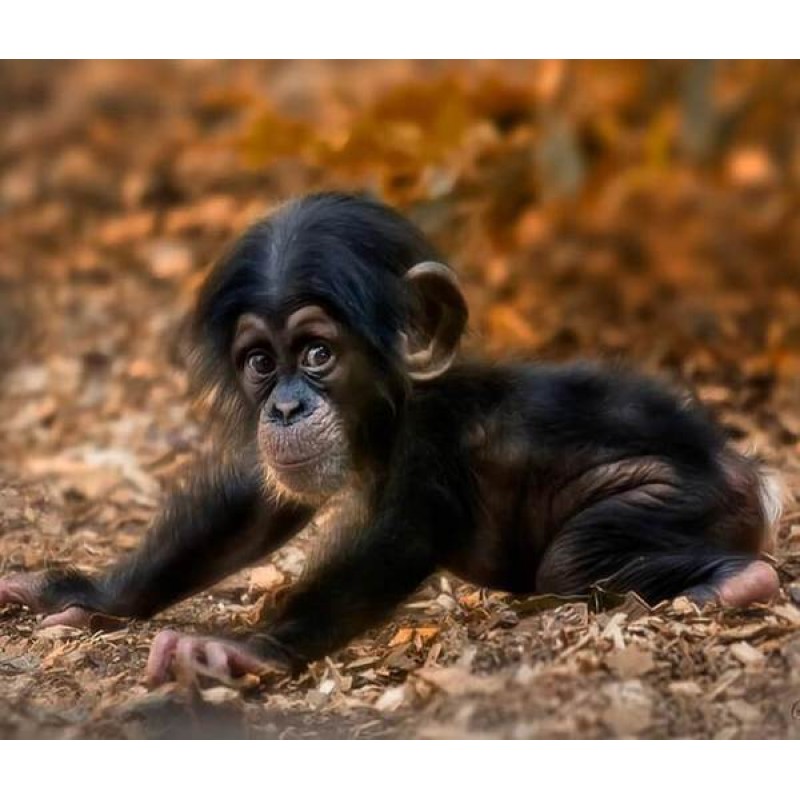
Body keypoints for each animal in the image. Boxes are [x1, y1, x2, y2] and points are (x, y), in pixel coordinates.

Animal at [0, 192, 782, 687]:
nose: (285, 406)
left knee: (575, 557)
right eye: (260, 363)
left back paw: (735, 581)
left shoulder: (430, 447)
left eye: (317, 352)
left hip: (680, 495)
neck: (393, 409)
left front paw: (240, 652)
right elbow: (257, 506)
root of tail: (756, 477)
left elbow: (397, 543)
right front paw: (86, 593)